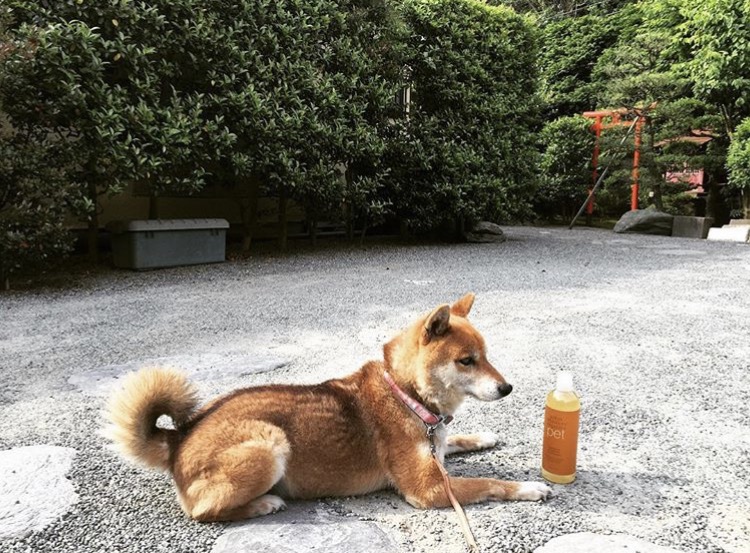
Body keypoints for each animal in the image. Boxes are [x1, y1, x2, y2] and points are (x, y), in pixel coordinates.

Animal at [104, 293, 551, 522]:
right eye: (466, 361)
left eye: (487, 355)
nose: (507, 387)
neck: (406, 393)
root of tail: (179, 437)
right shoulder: (428, 488)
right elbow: (489, 483)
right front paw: (529, 487)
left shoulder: (436, 444)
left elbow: (455, 439)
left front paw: (483, 436)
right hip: (270, 442)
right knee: (203, 511)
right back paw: (263, 504)